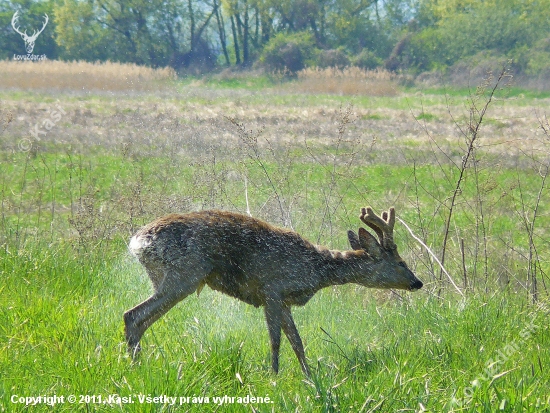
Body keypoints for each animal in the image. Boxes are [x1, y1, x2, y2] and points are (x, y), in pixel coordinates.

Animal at [127, 206, 424, 374]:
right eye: (400, 262)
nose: (417, 282)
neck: (315, 269)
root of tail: (138, 241)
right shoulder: (271, 290)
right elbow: (276, 340)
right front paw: (274, 376)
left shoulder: (284, 301)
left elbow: (297, 342)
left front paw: (309, 376)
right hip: (184, 275)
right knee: (133, 315)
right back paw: (135, 366)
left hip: (165, 278)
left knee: (141, 319)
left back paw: (137, 363)